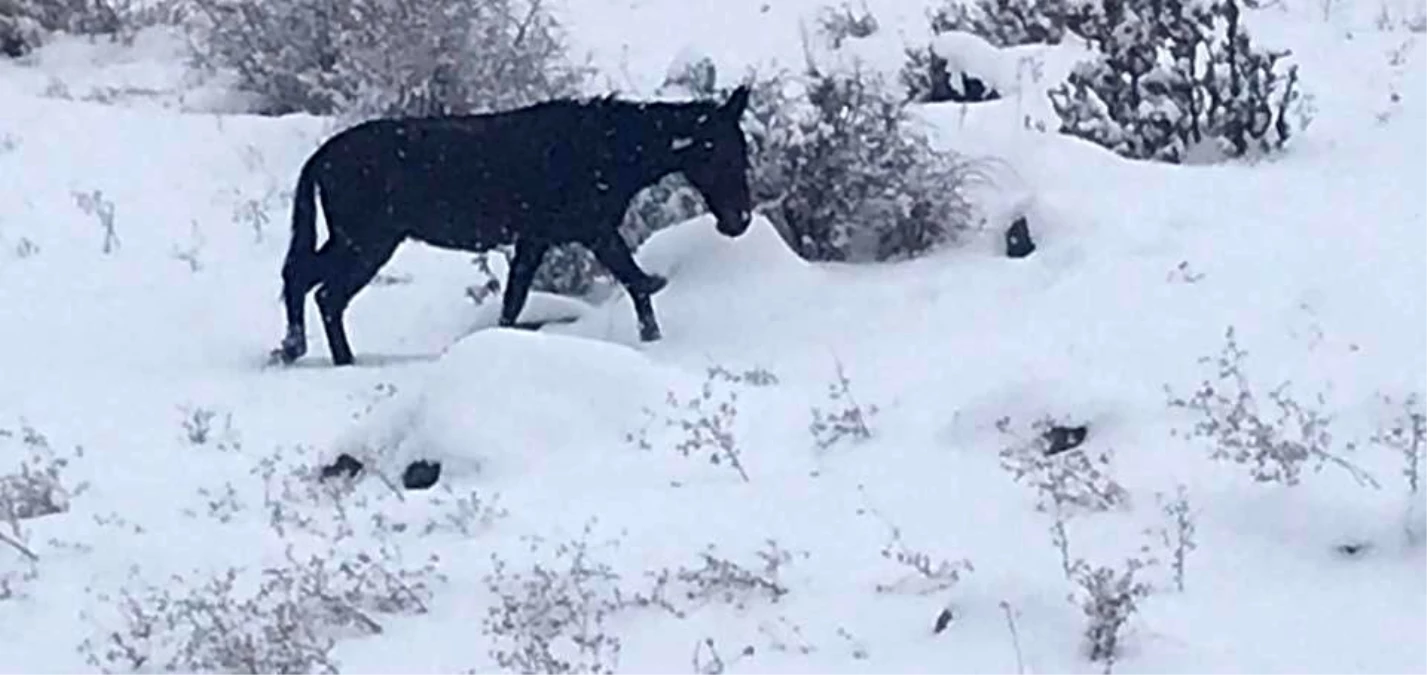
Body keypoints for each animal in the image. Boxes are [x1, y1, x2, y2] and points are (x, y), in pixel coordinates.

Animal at [271, 87, 753, 368]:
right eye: (715, 152)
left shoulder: (536, 239)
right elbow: (636, 282)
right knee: (323, 292)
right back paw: (329, 357)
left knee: (307, 282)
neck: (607, 148)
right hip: (367, 241)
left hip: (359, 240)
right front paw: (652, 338)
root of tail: (322, 157)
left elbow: (513, 301)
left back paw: (303, 350)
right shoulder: (592, 229)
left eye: (742, 149)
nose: (739, 221)